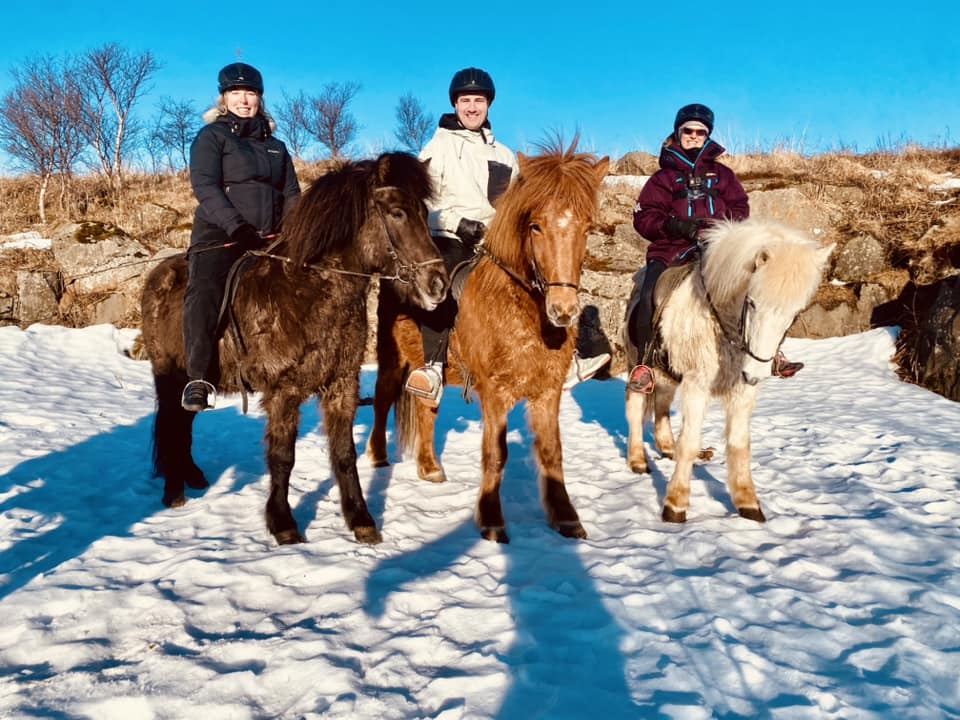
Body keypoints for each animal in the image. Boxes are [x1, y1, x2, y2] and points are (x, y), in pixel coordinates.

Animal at [140, 152, 448, 545]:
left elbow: (344, 453)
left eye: (424, 212)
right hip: (170, 378)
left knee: (183, 426)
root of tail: (156, 277)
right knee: (171, 425)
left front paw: (361, 520)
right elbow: (283, 456)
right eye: (397, 212)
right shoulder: (284, 391)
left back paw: (192, 477)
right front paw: (283, 523)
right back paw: (174, 490)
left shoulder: (342, 385)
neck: (308, 290)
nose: (438, 284)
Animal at [367, 140, 610, 543]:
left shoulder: (548, 392)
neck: (522, 312)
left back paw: (429, 467)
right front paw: (492, 521)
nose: (562, 310)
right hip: (392, 359)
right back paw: (377, 456)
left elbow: (552, 452)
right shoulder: (494, 394)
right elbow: (495, 454)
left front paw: (565, 518)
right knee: (383, 400)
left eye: (587, 228)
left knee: (427, 408)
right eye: (536, 226)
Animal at [624, 217, 833, 523]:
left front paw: (748, 502)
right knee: (636, 406)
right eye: (753, 302)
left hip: (668, 371)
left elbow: (739, 443)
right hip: (637, 364)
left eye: (796, 312)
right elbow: (689, 442)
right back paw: (638, 460)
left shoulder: (743, 389)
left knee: (661, 403)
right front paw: (675, 504)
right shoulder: (697, 385)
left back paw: (666, 447)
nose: (756, 371)